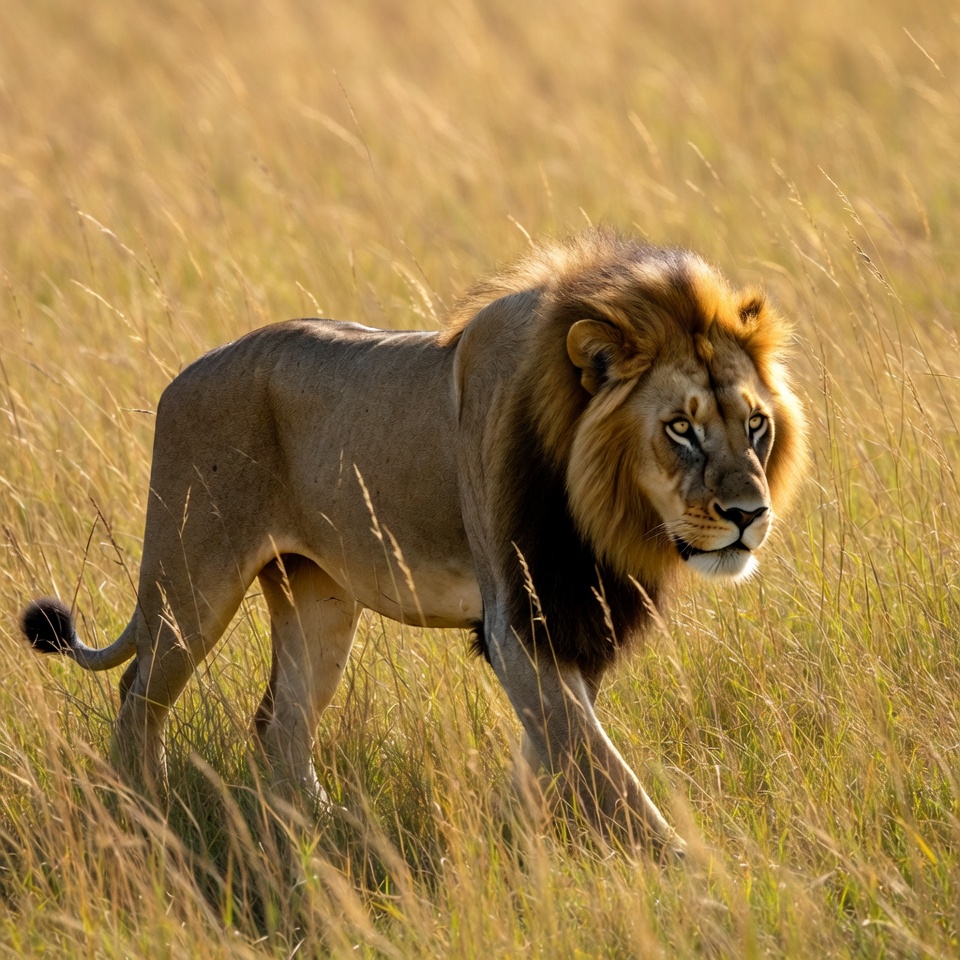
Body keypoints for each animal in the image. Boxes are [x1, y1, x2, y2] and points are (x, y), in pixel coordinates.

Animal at [20, 230, 806, 855]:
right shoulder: (519, 619)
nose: (749, 513)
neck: (602, 510)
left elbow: (555, 747)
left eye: (755, 424)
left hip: (317, 595)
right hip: (190, 579)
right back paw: (143, 817)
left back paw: (327, 828)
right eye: (681, 427)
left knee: (282, 720)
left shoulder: (570, 613)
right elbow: (598, 763)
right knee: (139, 696)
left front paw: (511, 838)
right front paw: (688, 872)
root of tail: (182, 376)